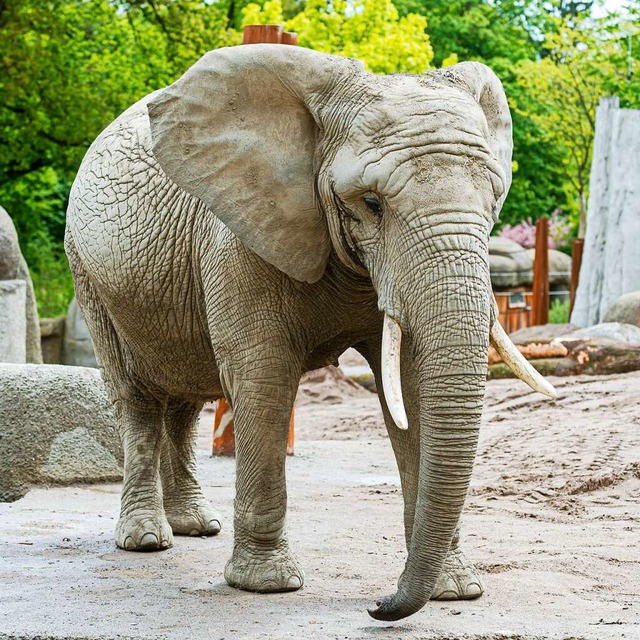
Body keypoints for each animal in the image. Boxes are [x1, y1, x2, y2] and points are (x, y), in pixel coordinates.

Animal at [65, 43, 556, 620]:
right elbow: (263, 378)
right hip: (90, 277)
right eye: (371, 204)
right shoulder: (238, 237)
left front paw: (453, 591)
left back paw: (197, 528)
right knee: (138, 395)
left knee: (185, 398)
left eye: (494, 200)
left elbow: (411, 386)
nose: (378, 605)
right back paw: (146, 539)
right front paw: (267, 585)